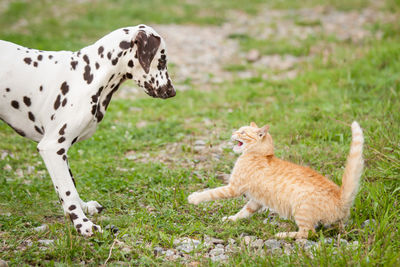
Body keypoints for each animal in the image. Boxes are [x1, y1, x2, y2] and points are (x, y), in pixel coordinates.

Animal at [188, 122, 362, 240]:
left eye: (242, 132)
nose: (232, 133)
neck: (261, 154)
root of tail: (340, 198)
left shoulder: (233, 187)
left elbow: (211, 193)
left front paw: (194, 198)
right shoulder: (256, 200)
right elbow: (244, 211)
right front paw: (231, 219)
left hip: (301, 209)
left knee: (308, 233)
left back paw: (283, 234)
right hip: (337, 222)